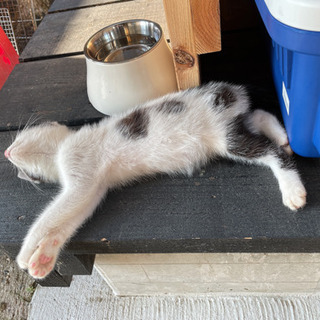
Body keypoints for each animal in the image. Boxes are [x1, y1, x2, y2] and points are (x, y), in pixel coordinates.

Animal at [4, 81, 304, 278]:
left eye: (19, 139)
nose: (7, 153)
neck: (59, 151)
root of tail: (227, 92)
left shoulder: (80, 175)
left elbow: (49, 218)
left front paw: (25, 254)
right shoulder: (93, 189)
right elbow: (67, 223)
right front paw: (43, 259)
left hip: (225, 138)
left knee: (271, 152)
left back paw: (292, 189)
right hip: (228, 131)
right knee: (257, 116)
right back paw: (281, 135)